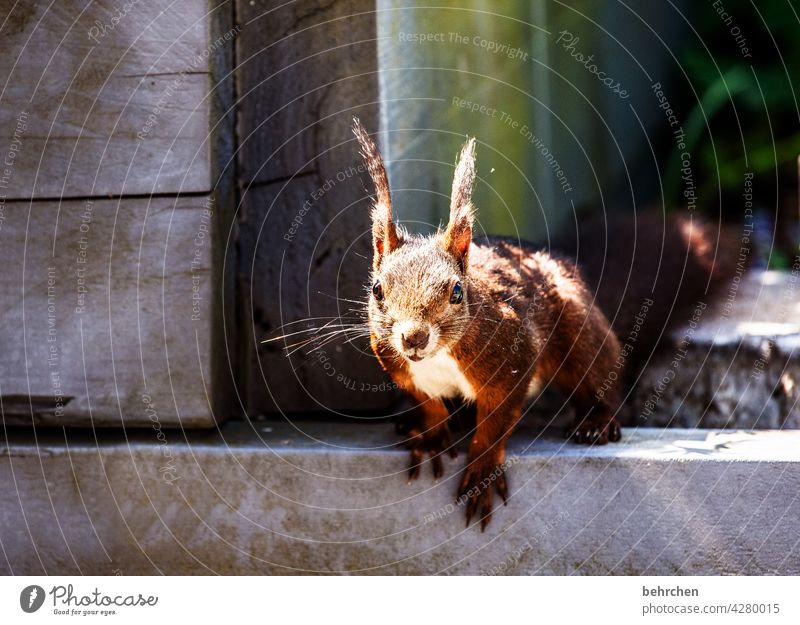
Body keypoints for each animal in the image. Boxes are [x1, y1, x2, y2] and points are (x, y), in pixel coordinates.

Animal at [350, 118, 732, 532]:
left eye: (456, 292)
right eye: (376, 289)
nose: (414, 338)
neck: (437, 358)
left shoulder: (512, 357)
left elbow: (497, 421)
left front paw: (482, 467)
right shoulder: (401, 368)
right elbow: (430, 404)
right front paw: (431, 436)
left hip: (580, 330)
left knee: (599, 375)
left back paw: (597, 421)